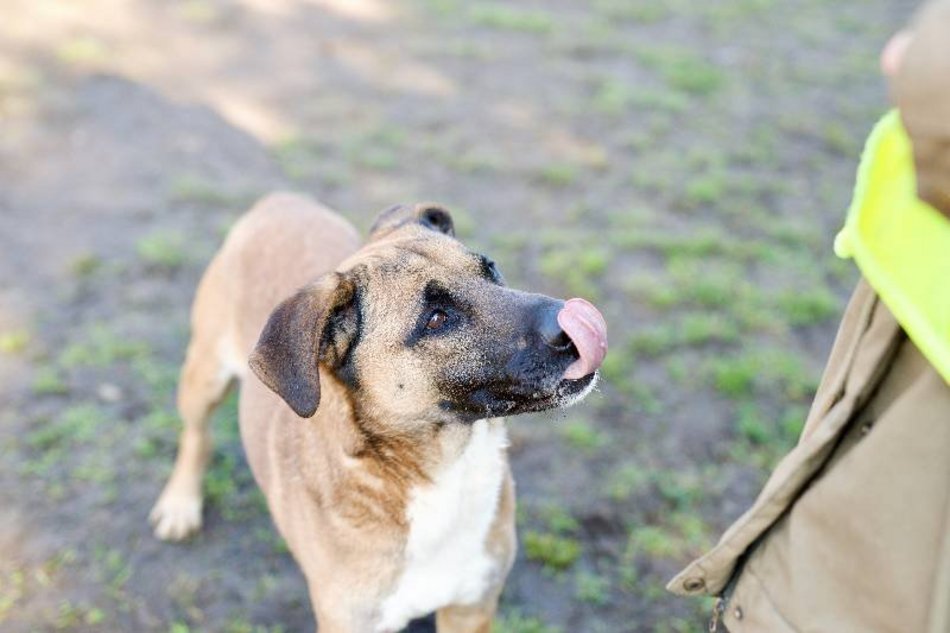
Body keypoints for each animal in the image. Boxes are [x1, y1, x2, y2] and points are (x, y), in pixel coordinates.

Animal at [149, 194, 608, 632]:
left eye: (490, 269)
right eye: (436, 319)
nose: (575, 322)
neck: (442, 469)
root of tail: (278, 199)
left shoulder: (472, 607)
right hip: (204, 377)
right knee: (196, 434)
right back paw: (180, 503)